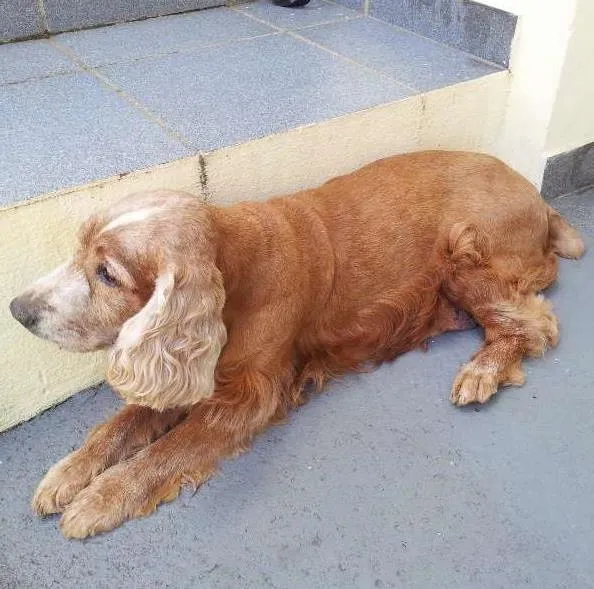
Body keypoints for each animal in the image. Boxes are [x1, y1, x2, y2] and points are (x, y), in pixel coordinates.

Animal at [10, 149, 584, 536]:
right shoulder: (193, 373)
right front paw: (68, 474)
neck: (236, 268)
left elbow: (168, 450)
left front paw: (100, 499)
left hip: (464, 252)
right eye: (78, 250)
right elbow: (123, 423)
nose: (18, 310)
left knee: (535, 324)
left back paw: (482, 370)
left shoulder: (249, 394)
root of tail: (539, 200)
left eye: (107, 274)